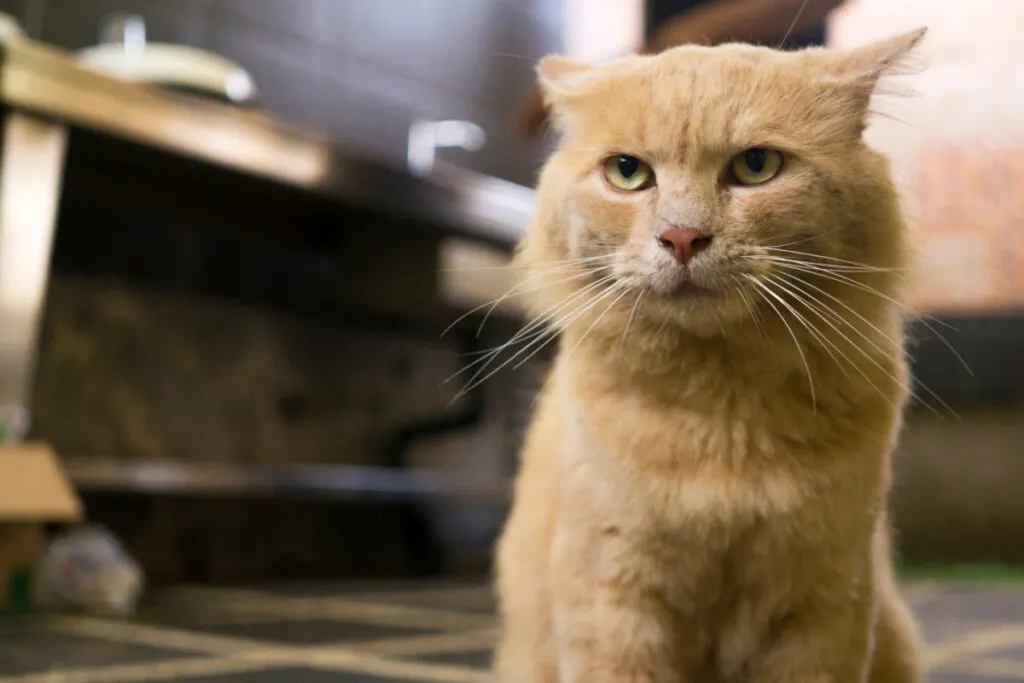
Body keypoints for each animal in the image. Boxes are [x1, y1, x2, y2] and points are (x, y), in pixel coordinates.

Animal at [493, 28, 929, 683]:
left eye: (756, 166)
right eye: (627, 172)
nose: (681, 237)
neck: (721, 415)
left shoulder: (824, 604)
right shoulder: (612, 599)